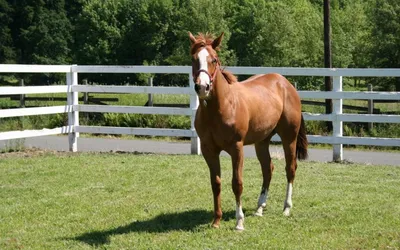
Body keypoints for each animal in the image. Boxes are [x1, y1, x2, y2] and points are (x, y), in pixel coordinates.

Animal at [189, 31, 308, 230]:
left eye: (214, 59)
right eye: (194, 59)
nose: (202, 87)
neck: (221, 107)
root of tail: (285, 83)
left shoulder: (237, 148)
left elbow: (237, 183)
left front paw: (239, 222)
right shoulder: (208, 150)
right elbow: (216, 183)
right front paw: (216, 220)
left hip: (289, 138)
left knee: (290, 168)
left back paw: (286, 208)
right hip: (262, 142)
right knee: (268, 169)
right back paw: (260, 208)